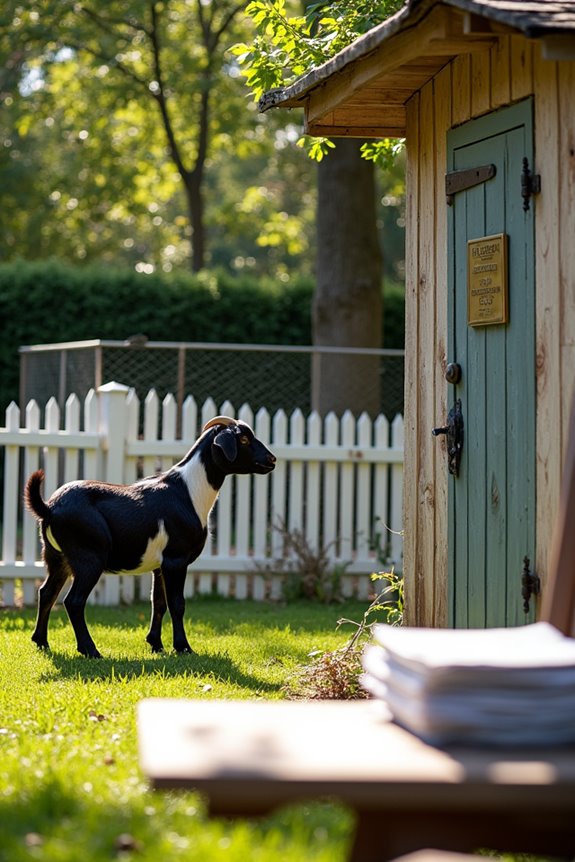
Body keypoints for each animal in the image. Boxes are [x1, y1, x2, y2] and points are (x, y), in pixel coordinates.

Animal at [24, 416, 276, 658]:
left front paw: (156, 644)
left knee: (47, 593)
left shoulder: (159, 565)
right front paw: (183, 648)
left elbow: (159, 603)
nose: (271, 459)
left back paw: (42, 642)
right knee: (74, 601)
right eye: (243, 439)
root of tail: (49, 508)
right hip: (88, 558)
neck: (189, 491)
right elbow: (177, 603)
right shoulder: (176, 559)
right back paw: (90, 650)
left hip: (56, 557)